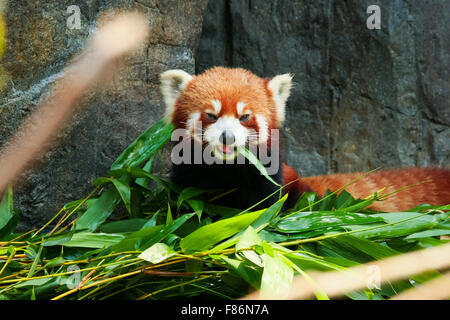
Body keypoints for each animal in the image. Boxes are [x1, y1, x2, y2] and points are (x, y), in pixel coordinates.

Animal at [161, 67, 450, 212]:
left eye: (244, 117)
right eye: (211, 115)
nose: (227, 137)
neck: (226, 170)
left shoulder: (267, 181)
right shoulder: (188, 180)